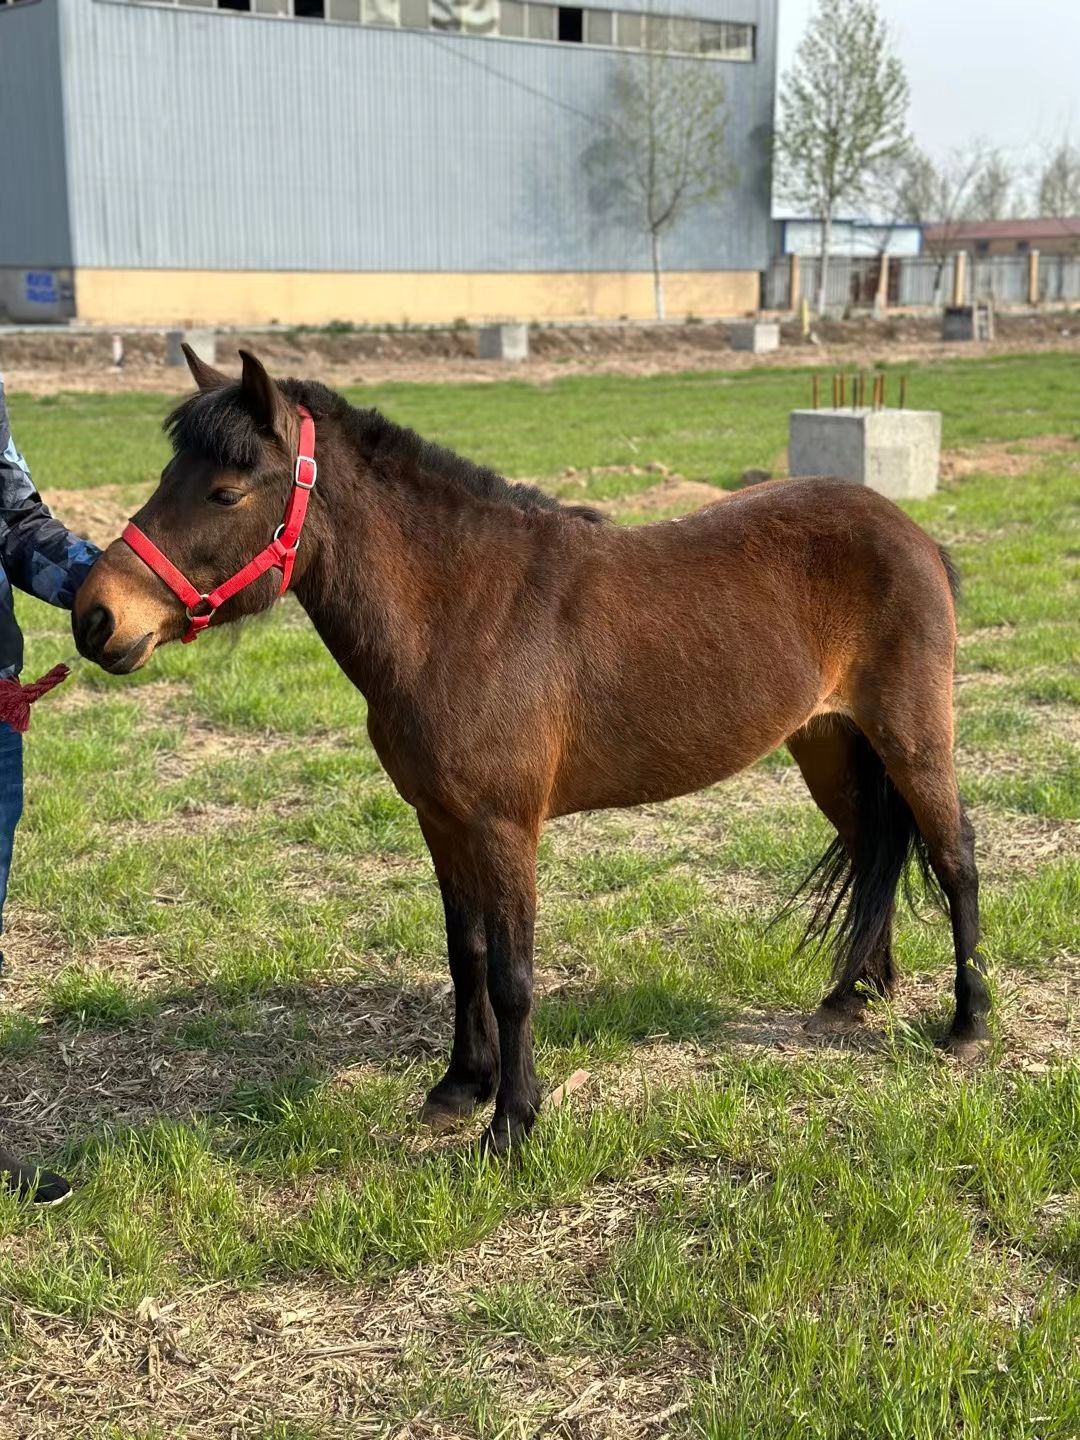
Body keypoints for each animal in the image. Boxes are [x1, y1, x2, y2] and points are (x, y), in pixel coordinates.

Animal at [74, 345, 990, 1146]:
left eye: (226, 491)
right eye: (167, 476)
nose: (95, 615)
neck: (464, 610)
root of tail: (909, 531)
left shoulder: (506, 827)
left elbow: (514, 977)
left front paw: (512, 1123)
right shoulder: (442, 822)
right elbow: (467, 955)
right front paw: (461, 1086)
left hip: (911, 736)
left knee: (953, 854)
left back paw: (966, 1021)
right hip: (827, 744)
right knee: (872, 846)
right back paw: (855, 996)